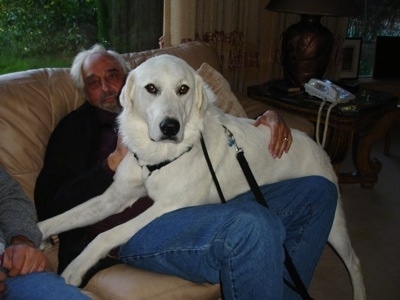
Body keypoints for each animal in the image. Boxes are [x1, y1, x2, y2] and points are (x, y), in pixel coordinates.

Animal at [37, 55, 366, 298]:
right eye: (151, 88)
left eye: (183, 89)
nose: (170, 127)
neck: (156, 157)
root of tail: (316, 144)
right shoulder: (114, 197)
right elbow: (65, 217)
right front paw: (37, 235)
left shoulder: (166, 207)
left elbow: (107, 234)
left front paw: (76, 268)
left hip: (335, 223)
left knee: (354, 261)